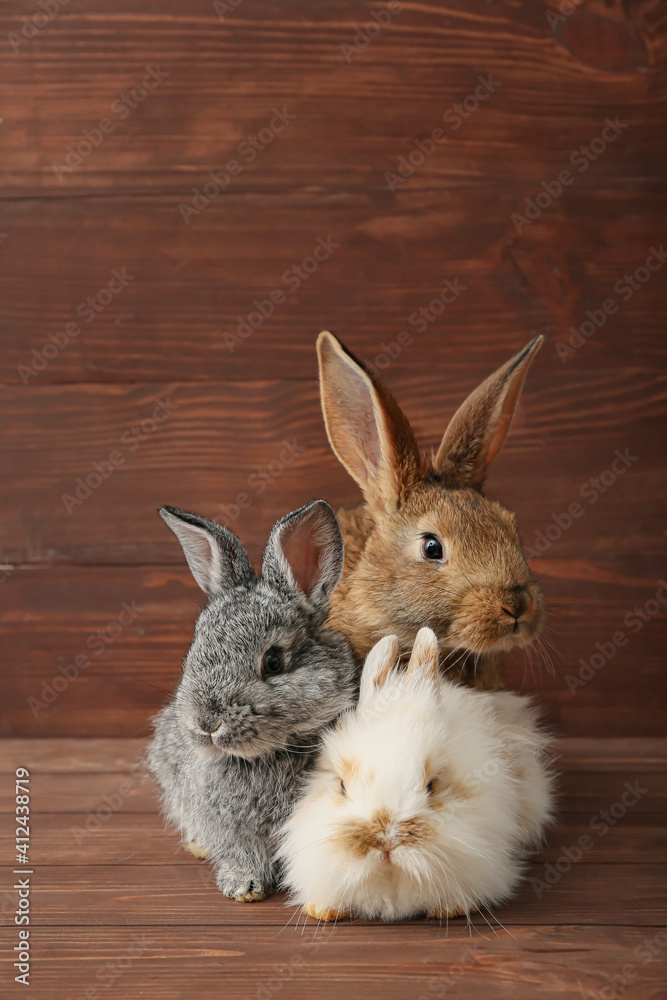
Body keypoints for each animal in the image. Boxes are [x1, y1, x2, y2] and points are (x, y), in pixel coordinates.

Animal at [147, 498, 360, 900]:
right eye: (194, 649)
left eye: (273, 661)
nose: (206, 722)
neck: (265, 756)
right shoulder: (229, 830)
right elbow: (240, 853)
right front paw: (243, 887)